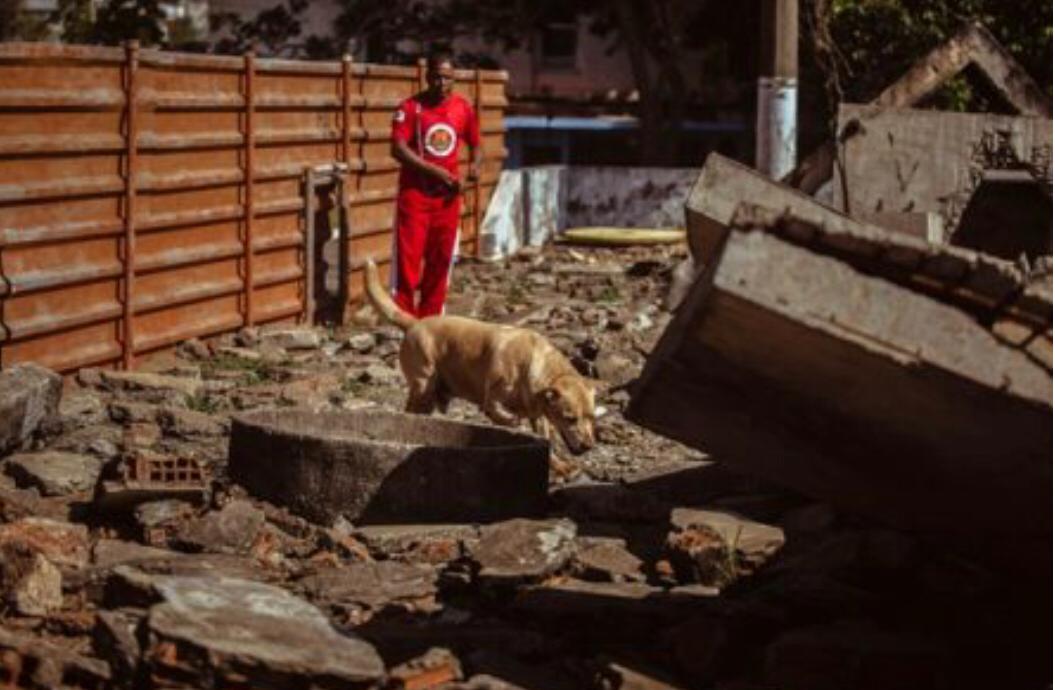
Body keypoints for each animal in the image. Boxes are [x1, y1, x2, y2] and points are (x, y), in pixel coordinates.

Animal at [362, 262, 599, 457]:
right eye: (570, 418)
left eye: (591, 417)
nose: (589, 446)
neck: (535, 364)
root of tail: (414, 323)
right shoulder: (492, 401)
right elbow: (504, 415)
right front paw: (513, 423)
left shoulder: (539, 416)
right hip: (423, 387)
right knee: (411, 413)